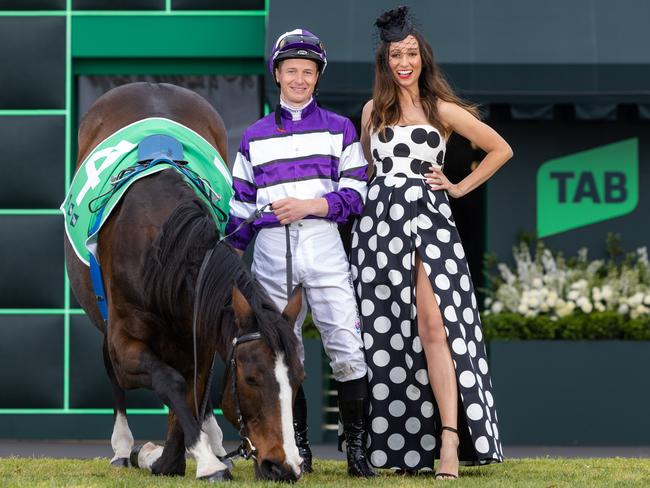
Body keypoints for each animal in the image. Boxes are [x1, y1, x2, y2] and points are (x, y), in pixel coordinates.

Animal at [64, 83, 302, 480]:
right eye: (251, 378)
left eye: (298, 379)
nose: (283, 466)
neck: (160, 251)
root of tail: (151, 84)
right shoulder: (123, 342)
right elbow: (168, 381)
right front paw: (189, 459)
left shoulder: (200, 335)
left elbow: (192, 393)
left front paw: (183, 455)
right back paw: (122, 448)